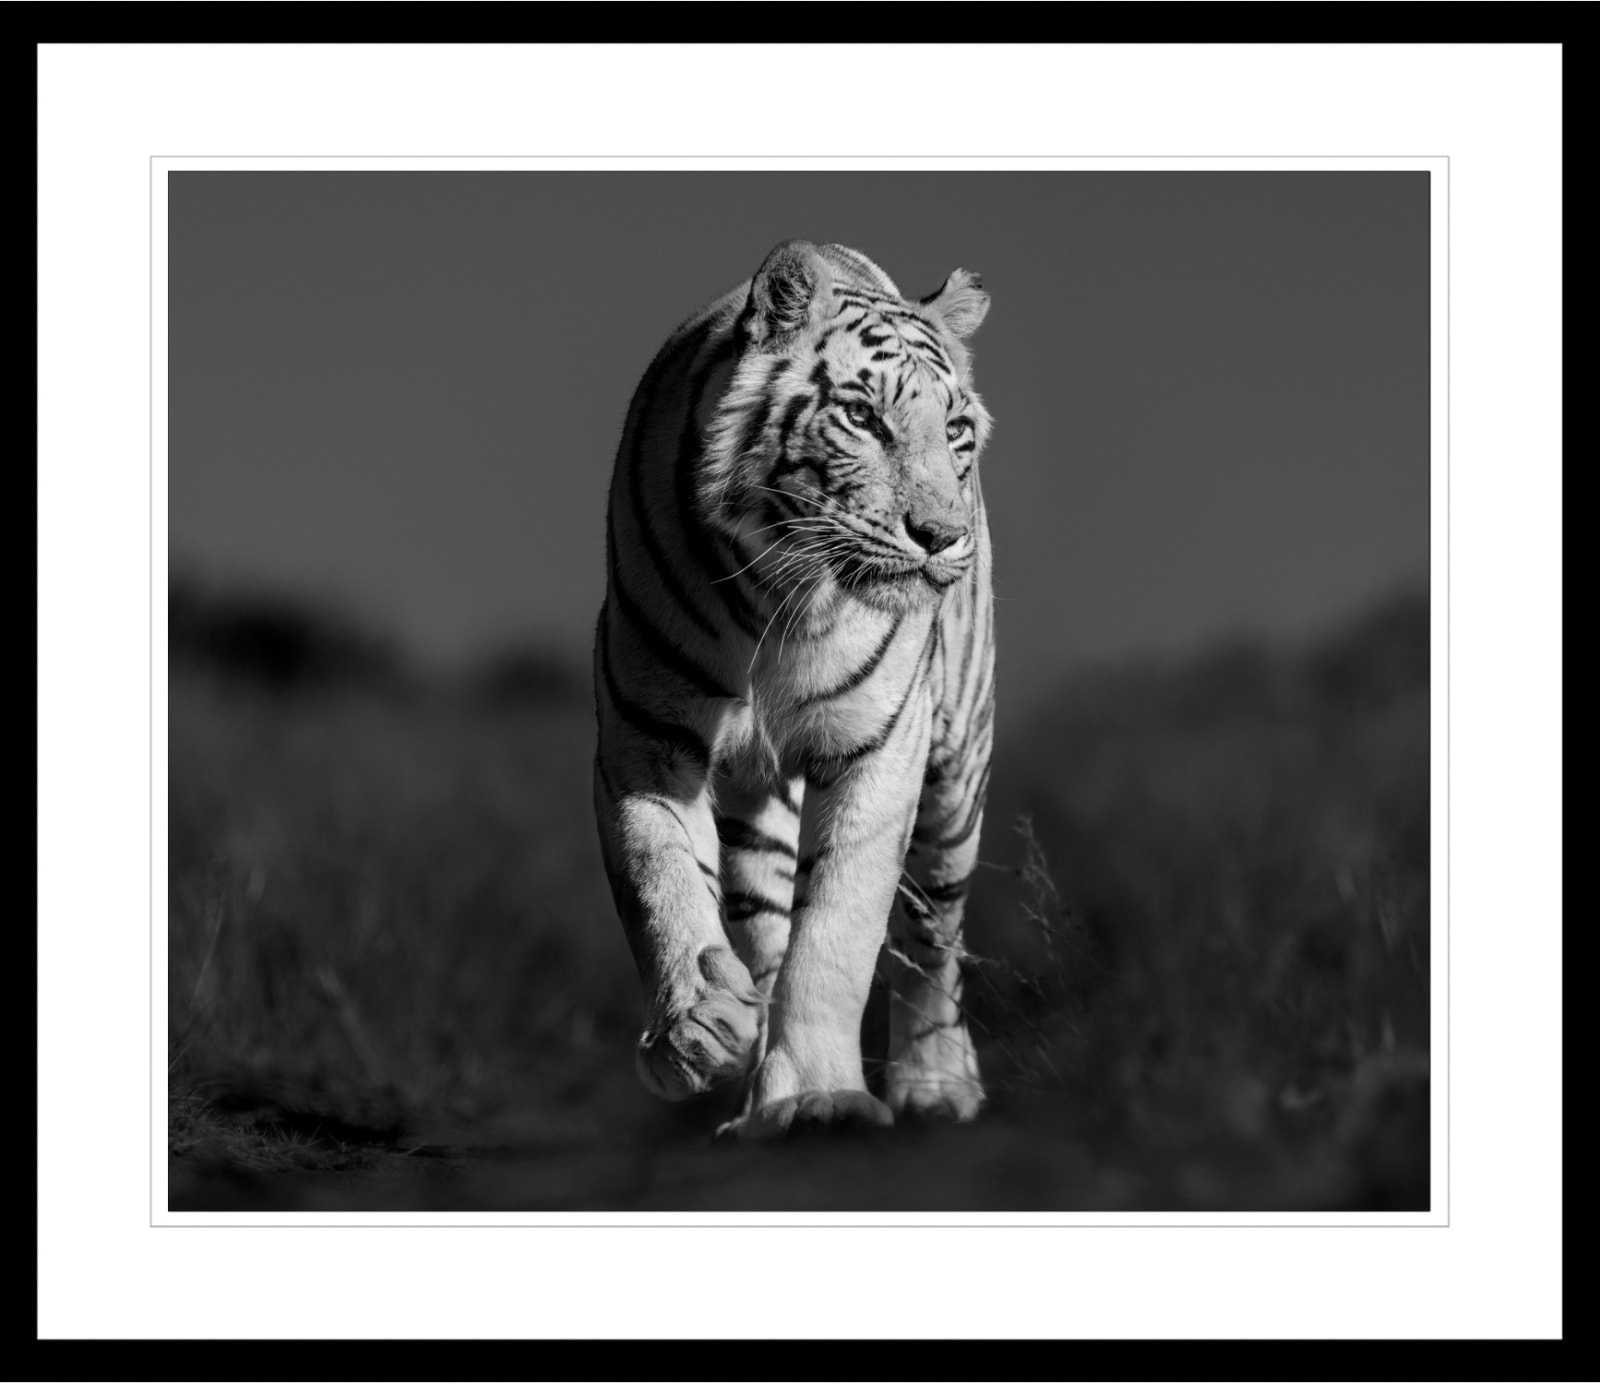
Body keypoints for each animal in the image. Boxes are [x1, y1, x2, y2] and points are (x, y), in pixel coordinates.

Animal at [592, 240, 995, 1142]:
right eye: (864, 418)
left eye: (955, 431)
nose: (942, 536)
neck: (779, 597)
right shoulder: (646, 737)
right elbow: (658, 884)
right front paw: (697, 1028)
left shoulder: (882, 750)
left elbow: (838, 930)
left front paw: (823, 1095)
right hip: (756, 804)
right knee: (765, 921)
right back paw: (756, 1094)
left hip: (955, 781)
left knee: (936, 935)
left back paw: (936, 1083)